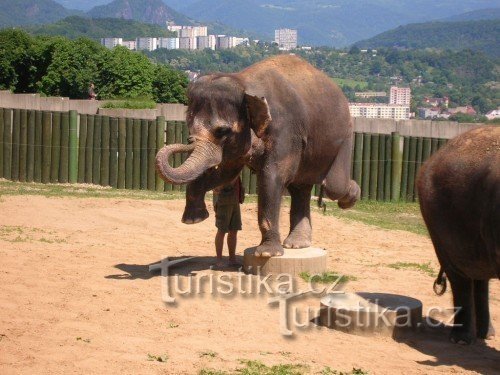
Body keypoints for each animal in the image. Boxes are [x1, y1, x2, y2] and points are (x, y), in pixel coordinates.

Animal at [156, 54, 360, 258]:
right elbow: (226, 174)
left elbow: (271, 177)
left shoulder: (285, 130)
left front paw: (267, 254)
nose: (188, 140)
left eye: (222, 131)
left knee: (333, 186)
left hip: (345, 136)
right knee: (300, 188)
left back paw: (351, 196)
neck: (245, 83)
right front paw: (194, 219)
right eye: (189, 127)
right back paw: (297, 245)